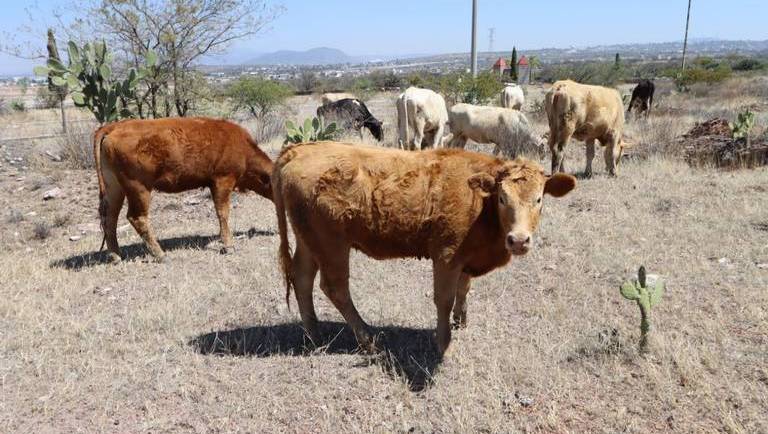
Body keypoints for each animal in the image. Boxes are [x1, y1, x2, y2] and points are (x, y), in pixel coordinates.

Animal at [93, 117, 274, 262]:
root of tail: (114, 126)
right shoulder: (223, 181)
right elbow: (223, 213)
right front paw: (228, 245)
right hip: (139, 187)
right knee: (137, 217)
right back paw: (160, 254)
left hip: (114, 187)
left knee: (110, 218)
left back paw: (115, 255)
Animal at [272, 142, 572, 356]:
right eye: (502, 198)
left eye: (539, 199)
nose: (519, 240)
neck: (479, 202)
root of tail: (300, 149)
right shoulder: (446, 257)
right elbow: (444, 298)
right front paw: (443, 343)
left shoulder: (466, 258)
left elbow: (463, 289)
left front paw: (461, 320)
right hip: (331, 245)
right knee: (335, 288)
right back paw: (367, 338)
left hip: (309, 241)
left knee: (302, 279)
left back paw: (315, 335)